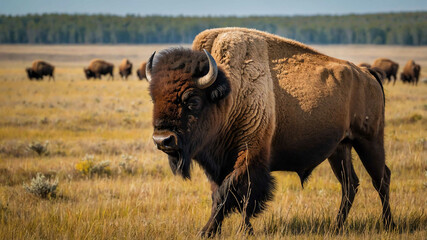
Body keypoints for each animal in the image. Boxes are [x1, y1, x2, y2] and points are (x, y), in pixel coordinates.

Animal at [147, 27, 394, 235]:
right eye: (153, 97)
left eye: (193, 100)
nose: (162, 140)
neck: (230, 93)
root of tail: (367, 74)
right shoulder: (219, 164)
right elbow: (224, 195)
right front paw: (226, 231)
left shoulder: (250, 155)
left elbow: (233, 195)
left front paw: (209, 231)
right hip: (340, 148)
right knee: (350, 184)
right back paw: (337, 227)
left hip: (369, 141)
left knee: (381, 179)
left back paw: (387, 224)